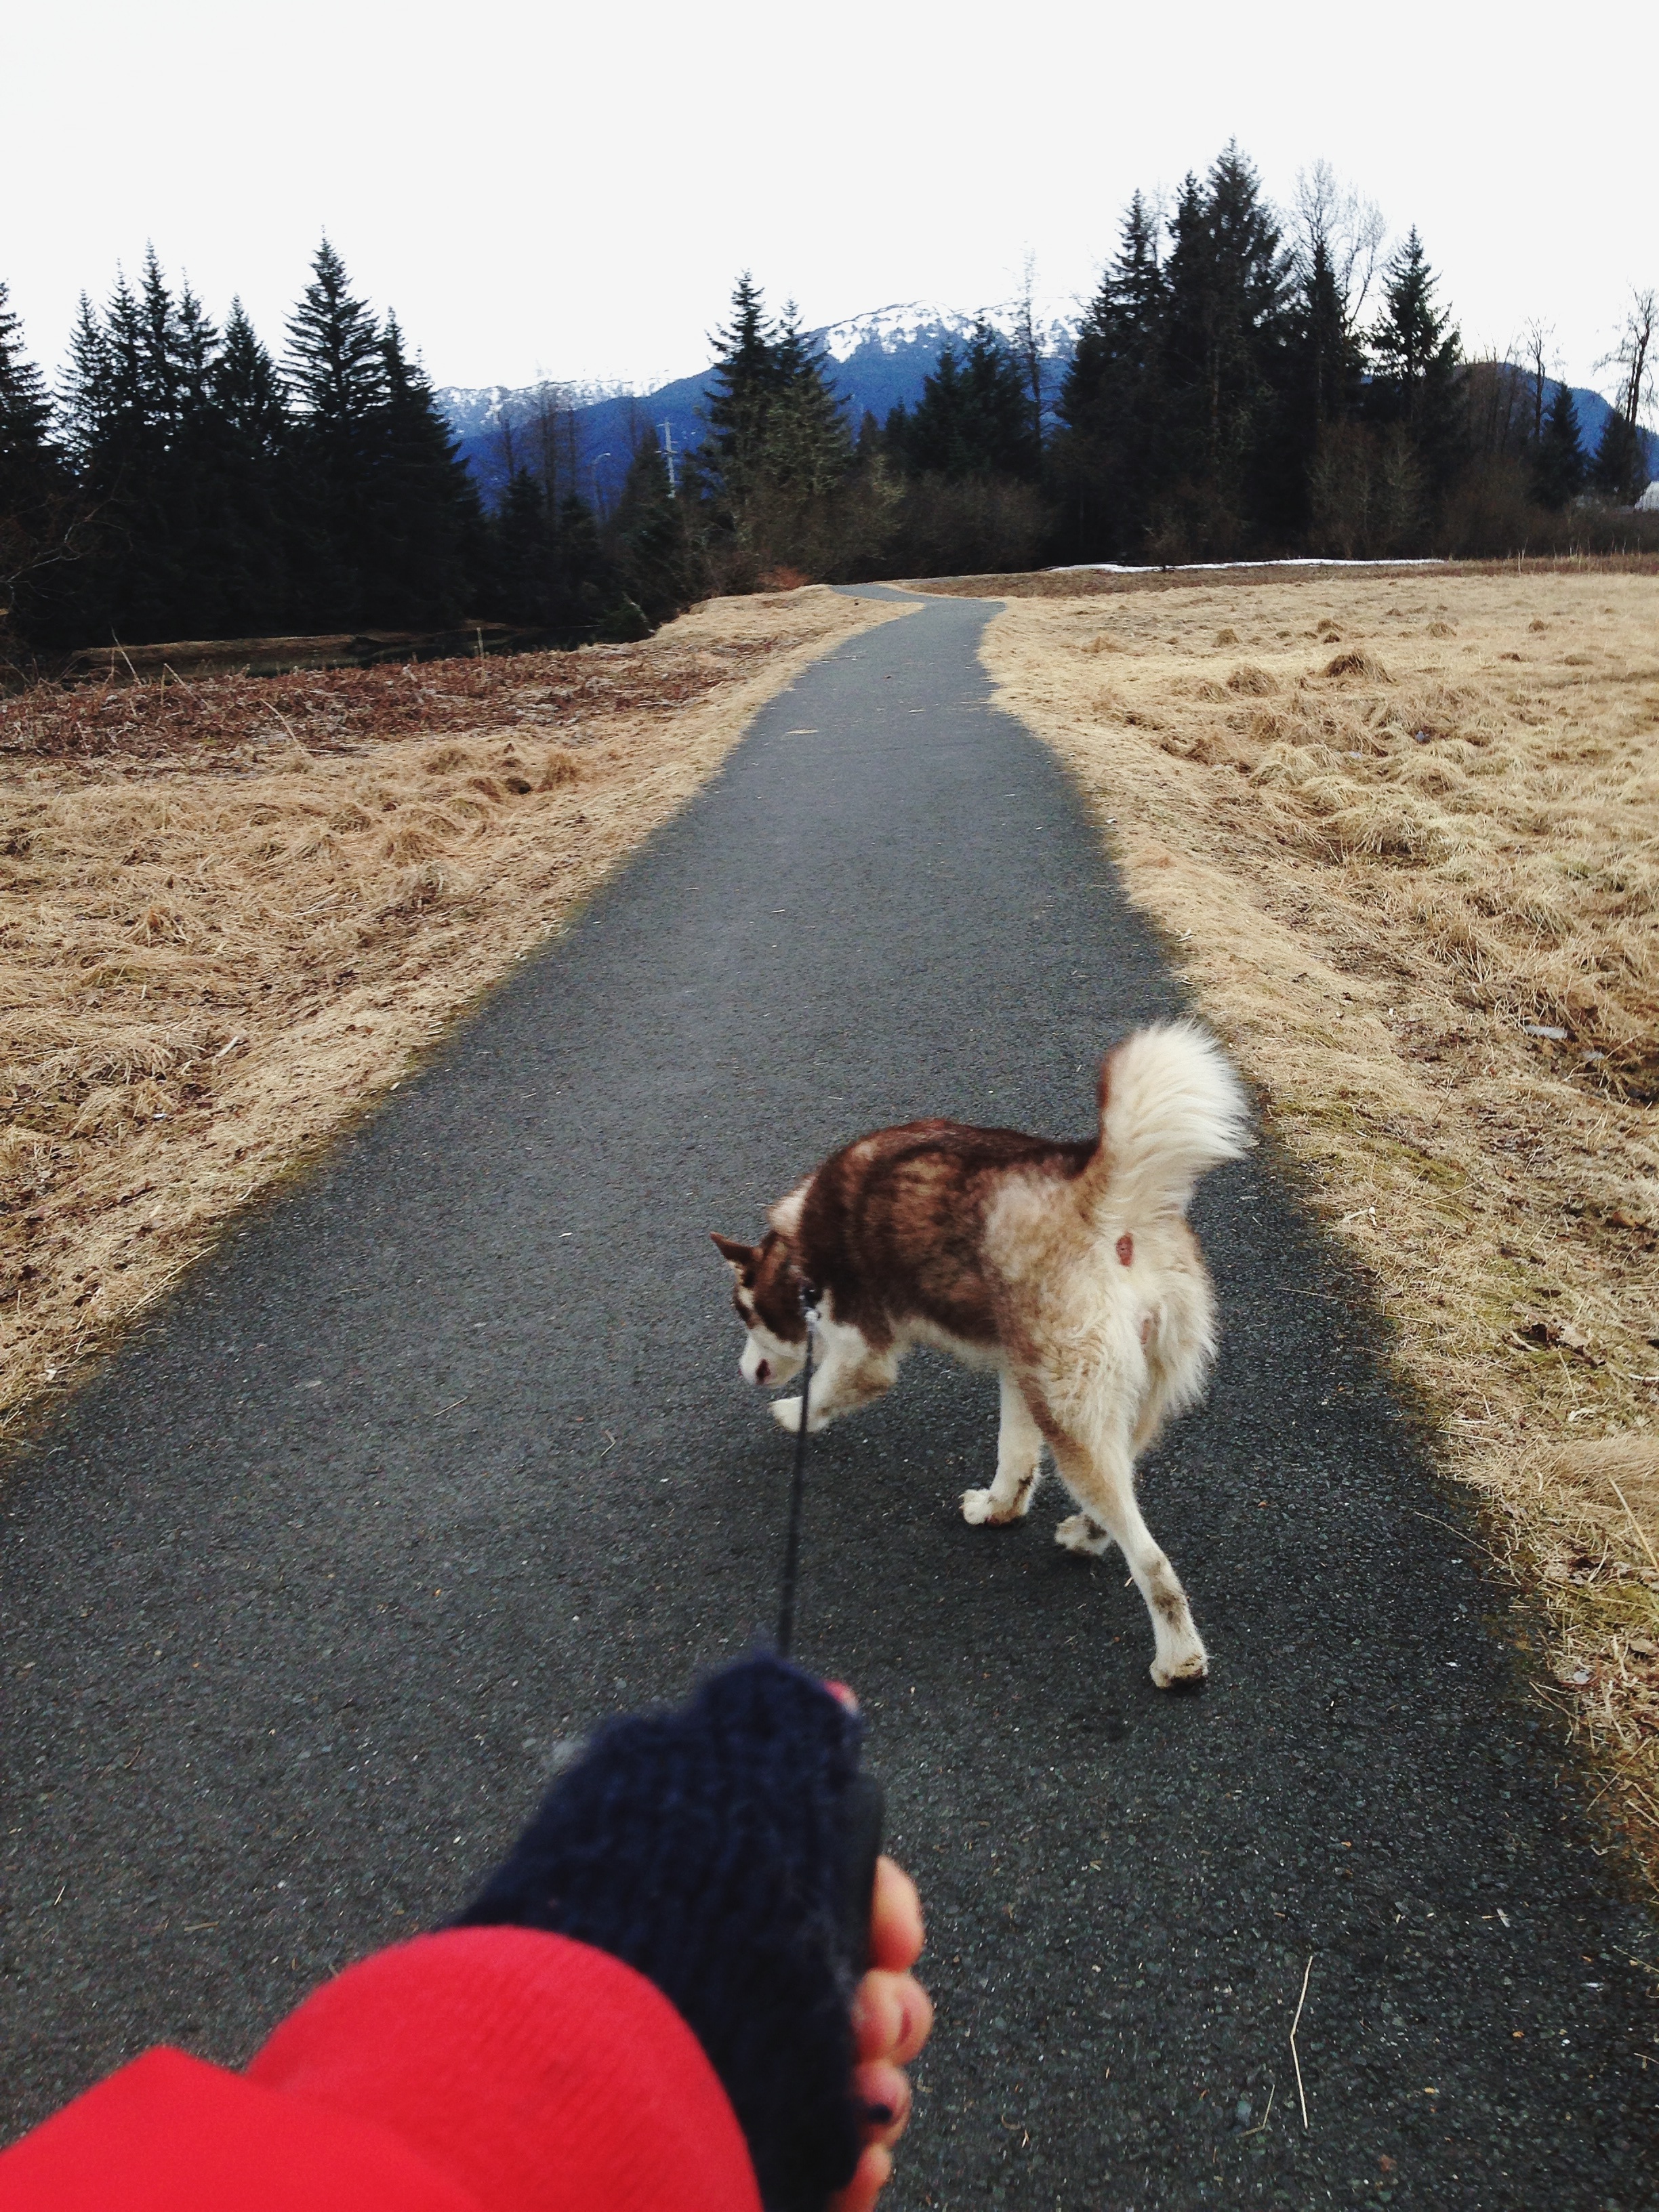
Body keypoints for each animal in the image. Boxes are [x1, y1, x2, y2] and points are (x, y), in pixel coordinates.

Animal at [712, 1026, 1247, 1681]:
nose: (743, 1371)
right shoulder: (1017, 1375)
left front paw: (794, 1416)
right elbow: (1014, 1463)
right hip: (1104, 1399)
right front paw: (997, 1508)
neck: (797, 1254)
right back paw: (1086, 1536)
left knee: (1151, 1559)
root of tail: (1100, 1193)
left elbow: (827, 1390)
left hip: (1072, 1420)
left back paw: (1178, 1660)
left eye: (744, 1315)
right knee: (1121, 1493)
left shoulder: (865, 1352)